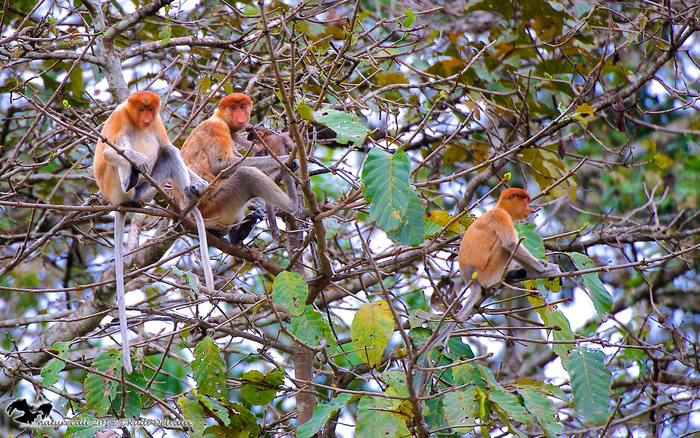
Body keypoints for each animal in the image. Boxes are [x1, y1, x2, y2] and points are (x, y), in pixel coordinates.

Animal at [93, 91, 215, 372]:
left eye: (151, 110)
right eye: (141, 109)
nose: (147, 119)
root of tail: (117, 202)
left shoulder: (158, 124)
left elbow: (168, 146)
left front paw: (200, 184)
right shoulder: (120, 117)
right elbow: (108, 151)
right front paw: (136, 159)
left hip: (148, 189)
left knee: (169, 152)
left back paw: (187, 198)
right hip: (113, 187)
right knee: (120, 153)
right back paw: (130, 178)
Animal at [418, 188, 560, 390]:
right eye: (525, 202)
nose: (530, 209)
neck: (499, 207)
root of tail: (472, 281)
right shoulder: (501, 217)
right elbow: (510, 244)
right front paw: (543, 269)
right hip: (491, 270)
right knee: (505, 245)